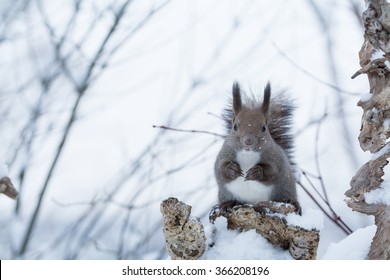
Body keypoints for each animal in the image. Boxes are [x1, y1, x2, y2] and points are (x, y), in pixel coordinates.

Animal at [213, 81, 302, 214]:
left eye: (264, 128)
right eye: (235, 127)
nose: (248, 141)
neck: (247, 155)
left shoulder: (276, 159)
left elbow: (272, 172)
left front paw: (257, 172)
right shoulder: (223, 155)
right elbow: (220, 170)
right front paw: (232, 169)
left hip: (285, 188)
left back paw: (292, 202)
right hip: (225, 194)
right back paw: (228, 204)